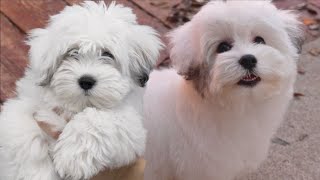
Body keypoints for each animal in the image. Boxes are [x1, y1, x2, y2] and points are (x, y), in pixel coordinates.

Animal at [0, 1, 162, 180]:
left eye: (108, 54)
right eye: (73, 52)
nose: (86, 81)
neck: (76, 106)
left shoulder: (133, 131)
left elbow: (98, 117)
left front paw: (71, 158)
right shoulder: (23, 108)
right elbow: (25, 138)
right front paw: (37, 172)